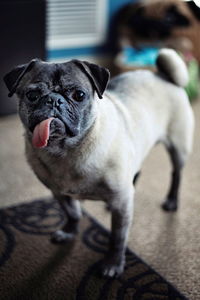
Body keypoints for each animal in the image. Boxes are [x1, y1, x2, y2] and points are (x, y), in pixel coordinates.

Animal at [3, 48, 194, 276]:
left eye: (79, 95)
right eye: (32, 96)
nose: (54, 100)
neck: (65, 151)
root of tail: (163, 75)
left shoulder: (121, 201)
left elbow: (118, 237)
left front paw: (113, 263)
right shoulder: (59, 193)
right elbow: (72, 213)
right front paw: (69, 232)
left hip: (178, 147)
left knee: (176, 174)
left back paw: (172, 201)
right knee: (136, 172)